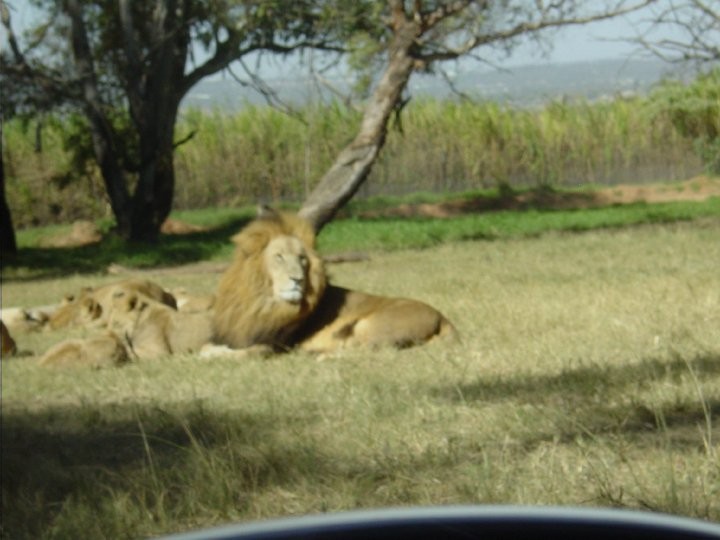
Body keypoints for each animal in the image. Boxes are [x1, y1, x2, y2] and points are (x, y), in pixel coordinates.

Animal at [211, 208, 455, 355]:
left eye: (302, 259)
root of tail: (442, 317)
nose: (298, 280)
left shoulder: (273, 345)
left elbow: (232, 353)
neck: (261, 301)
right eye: (279, 257)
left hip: (367, 326)